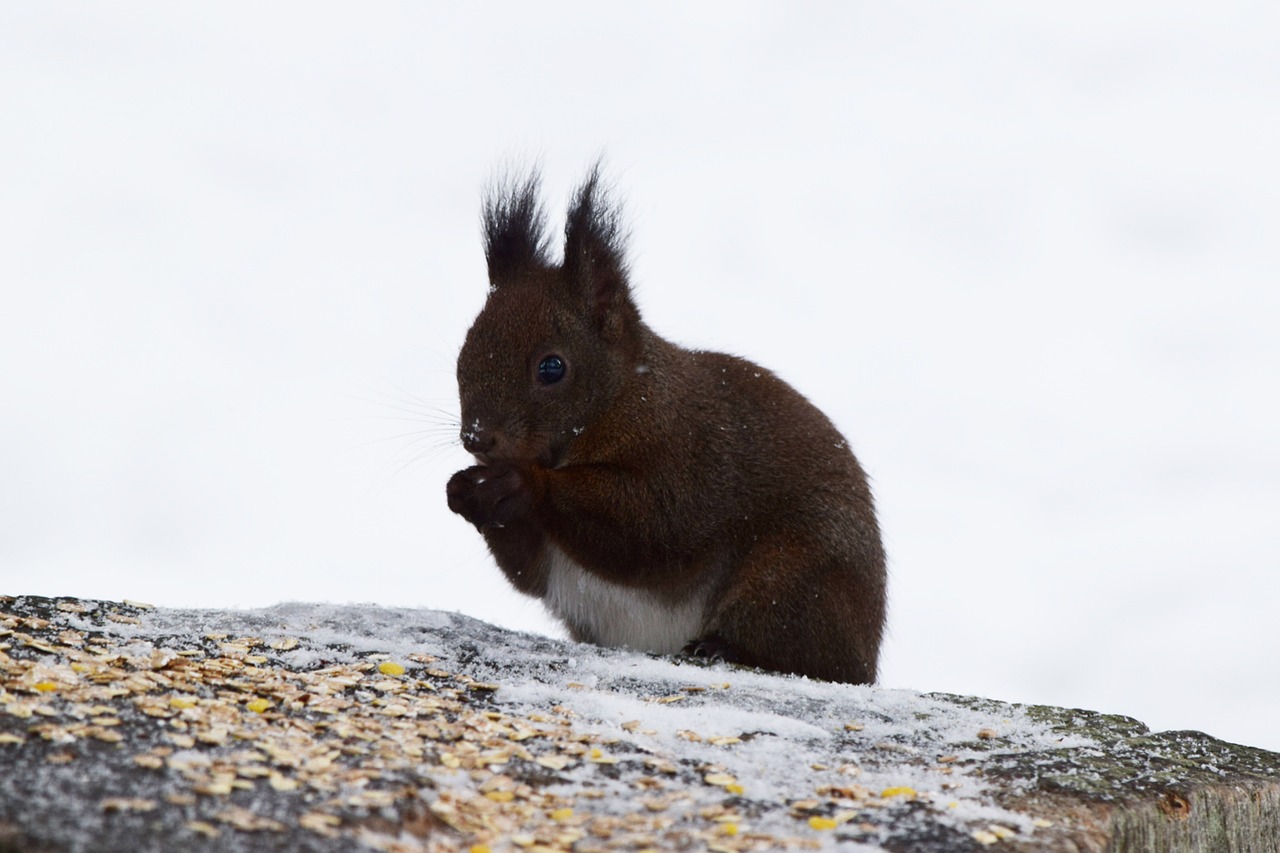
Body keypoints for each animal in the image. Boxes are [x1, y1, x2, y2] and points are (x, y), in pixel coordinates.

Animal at [445, 166, 885, 686]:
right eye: (463, 353)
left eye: (552, 368)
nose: (476, 437)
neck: (623, 399)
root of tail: (866, 658)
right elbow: (528, 570)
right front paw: (464, 490)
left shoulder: (688, 453)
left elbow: (653, 528)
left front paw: (520, 483)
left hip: (793, 577)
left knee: (802, 651)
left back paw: (723, 646)